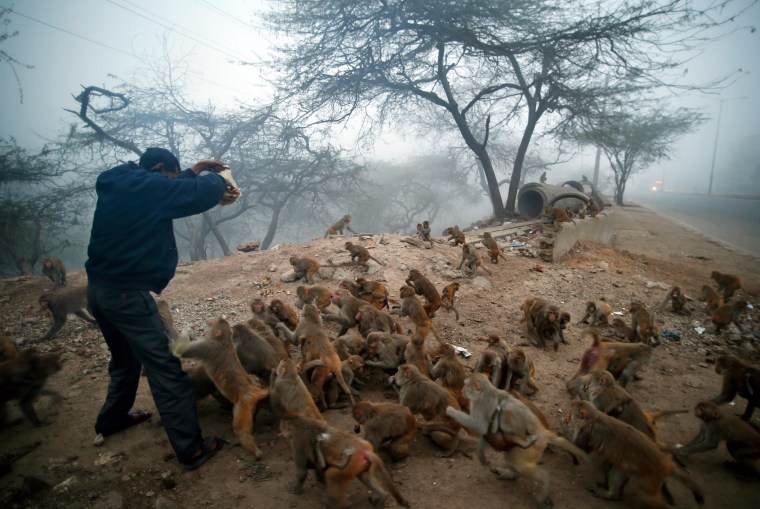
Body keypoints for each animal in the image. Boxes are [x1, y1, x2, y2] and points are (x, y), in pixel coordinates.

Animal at [180, 317, 268, 459]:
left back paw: (254, 450)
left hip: (243, 406)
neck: (224, 341)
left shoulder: (206, 347)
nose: (206, 322)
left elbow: (182, 349)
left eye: (210, 323)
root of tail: (253, 391)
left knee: (240, 430)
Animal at [279, 413, 409, 508]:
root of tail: (364, 449)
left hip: (352, 462)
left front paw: (296, 490)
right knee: (365, 477)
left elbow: (302, 471)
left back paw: (337, 504)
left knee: (333, 475)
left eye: (283, 426)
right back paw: (383, 496)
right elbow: (318, 466)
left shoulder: (297, 442)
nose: (281, 431)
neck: (300, 423)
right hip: (361, 463)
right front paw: (320, 481)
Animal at [446, 373, 587, 508]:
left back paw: (543, 483)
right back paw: (511, 475)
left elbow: (480, 426)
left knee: (519, 463)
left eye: (465, 385)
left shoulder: (481, 404)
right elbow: (487, 432)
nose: (462, 390)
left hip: (534, 447)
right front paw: (481, 454)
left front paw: (451, 411)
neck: (485, 392)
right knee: (511, 457)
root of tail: (543, 431)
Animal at [561, 400, 704, 508]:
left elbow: (580, 448)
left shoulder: (586, 432)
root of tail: (667, 465)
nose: (571, 404)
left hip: (649, 480)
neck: (594, 417)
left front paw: (563, 426)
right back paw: (611, 492)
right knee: (616, 470)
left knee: (648, 498)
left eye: (574, 406)